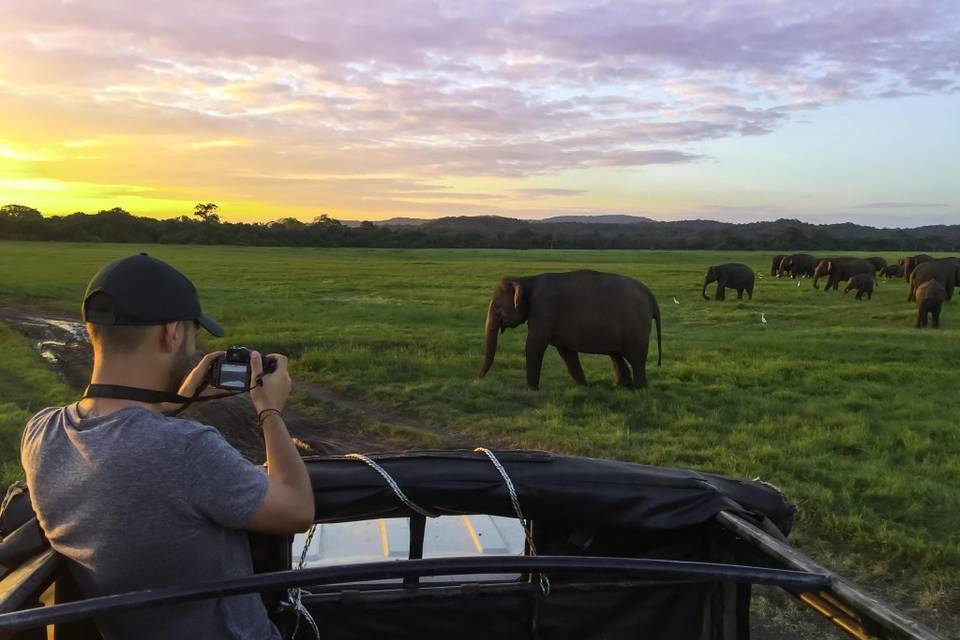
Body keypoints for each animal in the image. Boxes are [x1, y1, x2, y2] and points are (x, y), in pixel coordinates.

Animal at [478, 270, 660, 390]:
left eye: (496, 307)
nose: (477, 378)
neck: (527, 280)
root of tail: (650, 295)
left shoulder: (543, 309)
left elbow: (535, 344)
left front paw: (531, 389)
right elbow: (565, 351)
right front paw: (584, 386)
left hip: (636, 326)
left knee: (635, 357)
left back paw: (639, 389)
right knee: (616, 354)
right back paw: (621, 385)